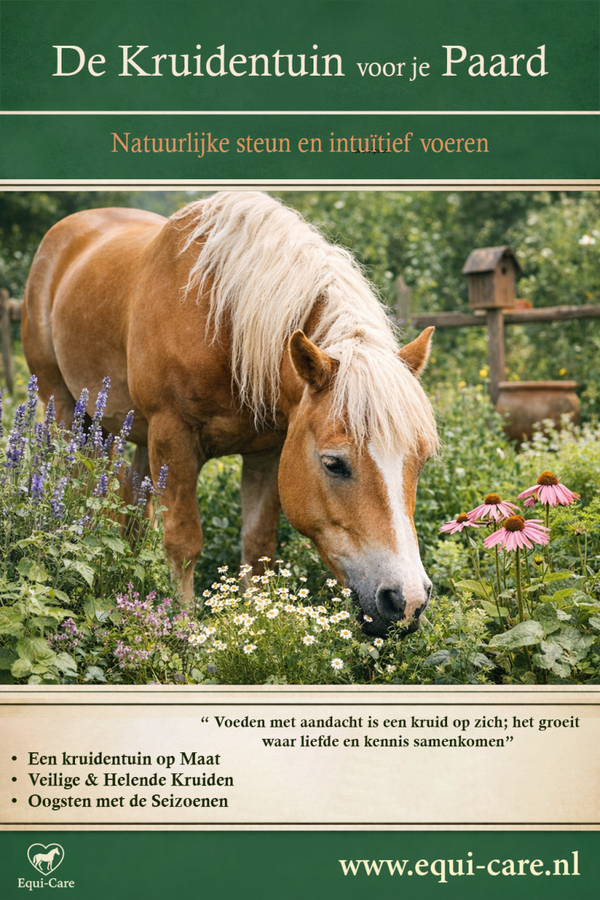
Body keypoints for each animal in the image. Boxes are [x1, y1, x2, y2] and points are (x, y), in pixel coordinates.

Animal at [23, 191, 438, 636]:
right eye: (333, 463)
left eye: (420, 462)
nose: (408, 601)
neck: (222, 324)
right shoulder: (174, 437)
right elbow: (183, 541)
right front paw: (185, 628)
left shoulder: (268, 453)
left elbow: (257, 549)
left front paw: (255, 621)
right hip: (72, 417)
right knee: (79, 494)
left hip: (138, 437)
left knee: (132, 516)